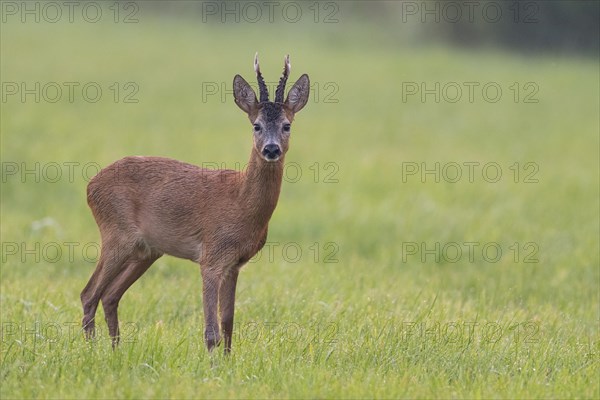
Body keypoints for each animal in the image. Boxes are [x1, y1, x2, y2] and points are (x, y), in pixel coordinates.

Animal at [80, 53, 312, 354]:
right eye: (256, 125)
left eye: (287, 125)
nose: (271, 149)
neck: (241, 203)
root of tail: (90, 185)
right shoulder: (211, 257)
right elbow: (211, 331)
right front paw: (213, 364)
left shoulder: (235, 263)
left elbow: (228, 323)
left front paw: (228, 361)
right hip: (116, 233)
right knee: (89, 293)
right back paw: (92, 350)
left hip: (147, 250)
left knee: (109, 294)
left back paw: (116, 350)